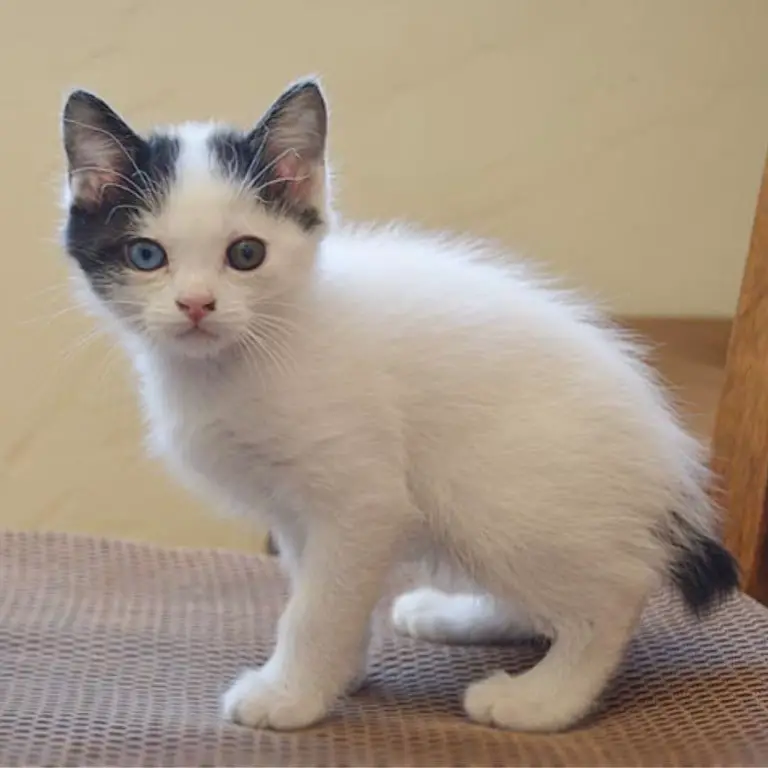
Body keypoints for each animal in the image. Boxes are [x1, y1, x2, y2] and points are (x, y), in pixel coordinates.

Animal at [60, 76, 736, 732]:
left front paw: (291, 695)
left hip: (495, 491)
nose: (197, 305)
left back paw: (543, 698)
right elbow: (322, 588)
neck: (240, 360)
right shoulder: (297, 513)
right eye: (146, 255)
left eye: (245, 253)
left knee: (614, 592)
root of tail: (671, 465)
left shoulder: (363, 500)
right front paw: (335, 675)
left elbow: (317, 605)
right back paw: (453, 615)